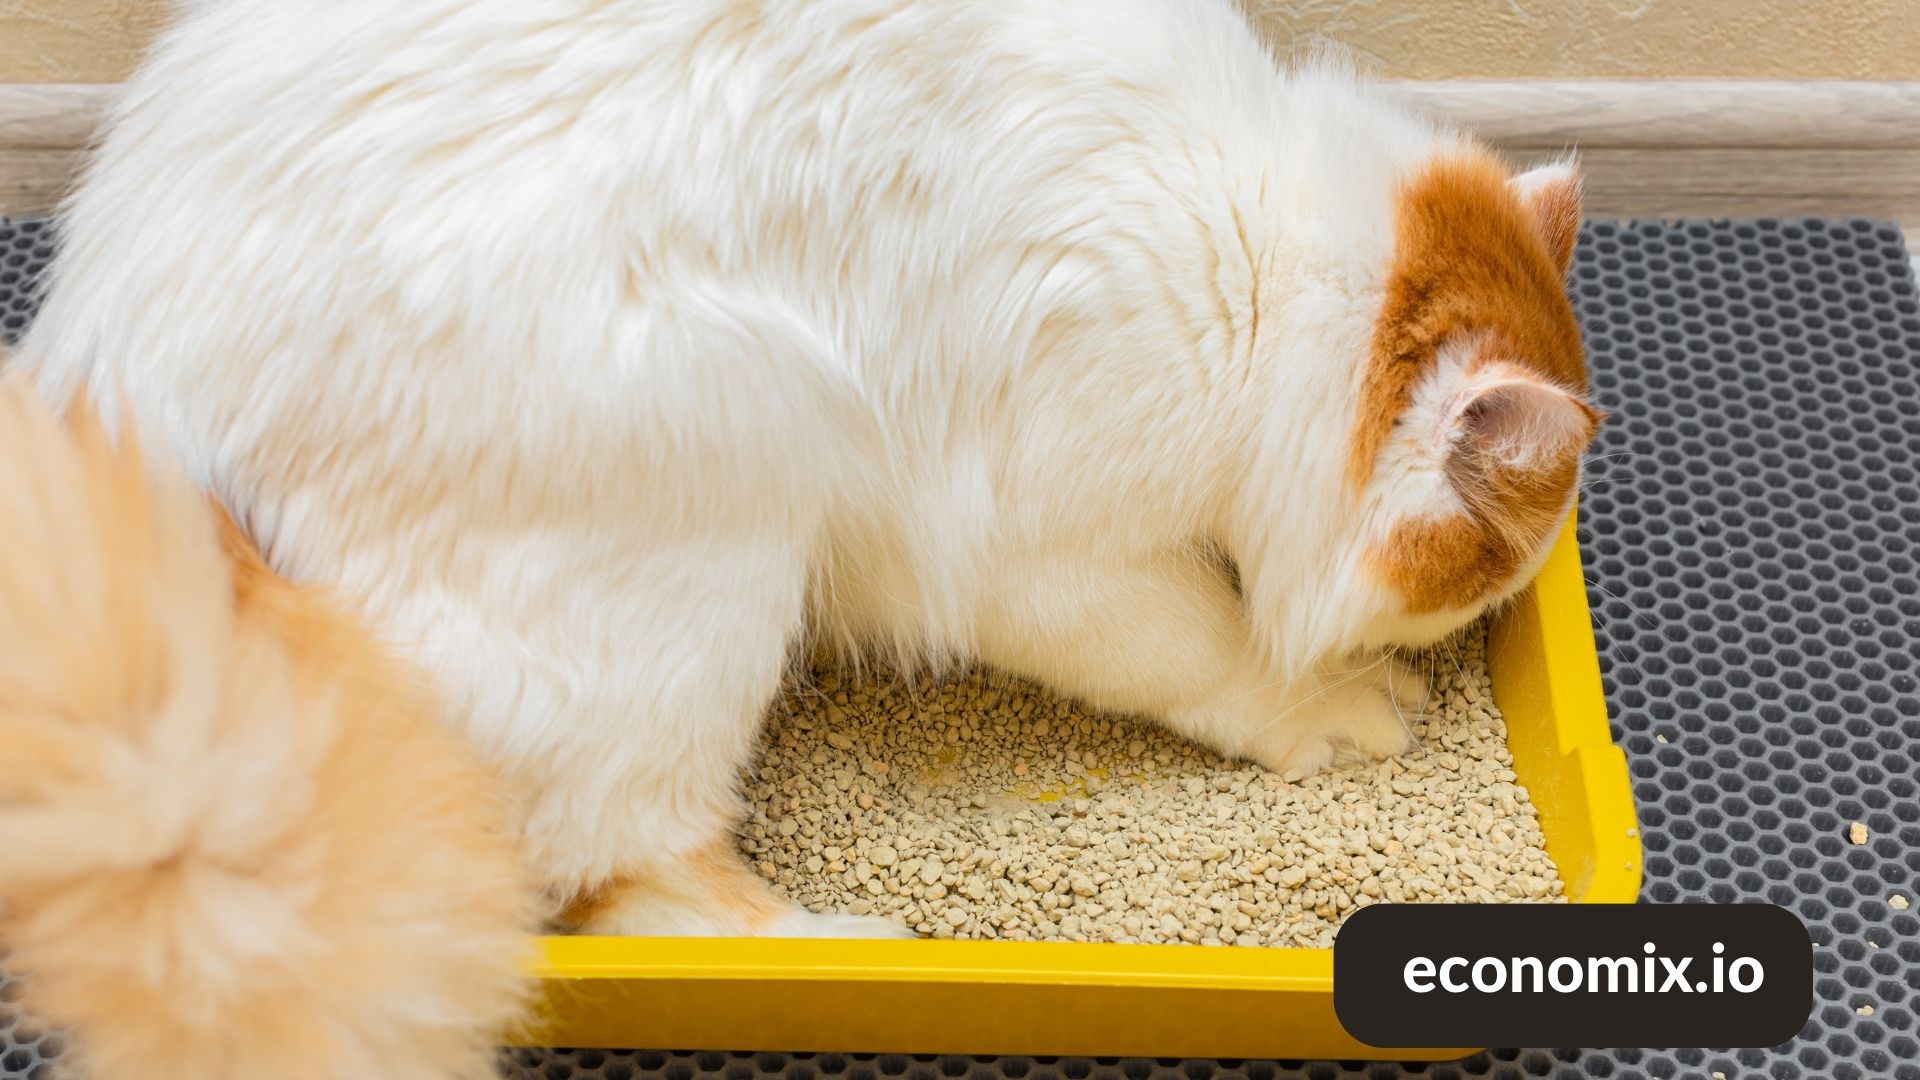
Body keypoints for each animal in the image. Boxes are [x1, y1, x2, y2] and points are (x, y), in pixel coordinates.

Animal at [22, 0, 1597, 941]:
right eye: (1478, 583)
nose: (1471, 633)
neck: (1258, 251)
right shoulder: (1038, 550)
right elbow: (1207, 650)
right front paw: (1330, 704)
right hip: (709, 537)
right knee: (622, 861)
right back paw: (850, 941)